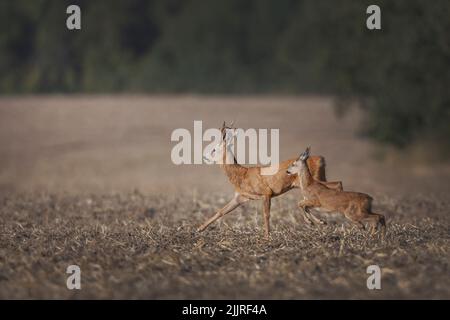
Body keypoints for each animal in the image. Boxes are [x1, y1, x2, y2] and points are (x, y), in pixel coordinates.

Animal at [196, 122, 342, 238]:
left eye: (214, 149)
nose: (204, 156)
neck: (243, 175)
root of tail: (321, 159)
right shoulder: (241, 197)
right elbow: (221, 211)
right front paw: (199, 229)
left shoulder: (266, 193)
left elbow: (266, 214)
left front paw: (267, 236)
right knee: (311, 200)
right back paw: (318, 222)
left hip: (314, 181)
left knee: (336, 185)